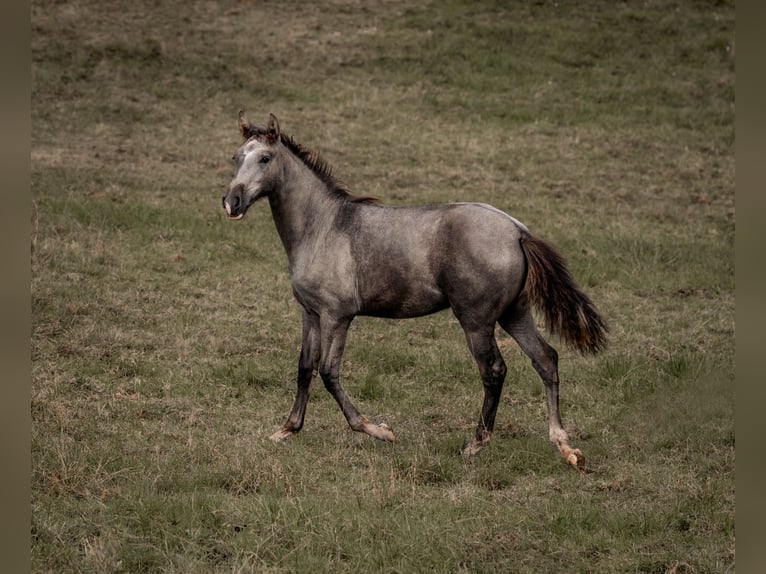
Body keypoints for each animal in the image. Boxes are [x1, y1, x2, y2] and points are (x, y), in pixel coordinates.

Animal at [222, 110, 608, 470]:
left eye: (265, 158)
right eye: (237, 156)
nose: (231, 202)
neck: (322, 227)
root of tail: (517, 231)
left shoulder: (337, 316)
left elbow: (329, 372)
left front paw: (379, 430)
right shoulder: (311, 313)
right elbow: (305, 368)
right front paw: (287, 429)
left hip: (477, 320)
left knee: (494, 370)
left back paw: (475, 444)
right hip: (514, 313)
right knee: (545, 359)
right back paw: (565, 447)